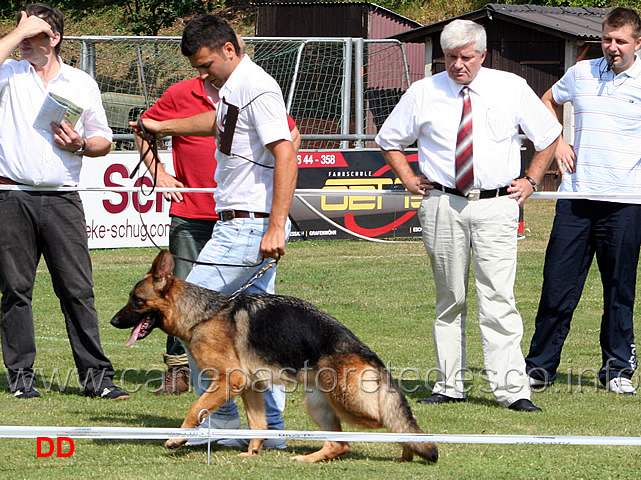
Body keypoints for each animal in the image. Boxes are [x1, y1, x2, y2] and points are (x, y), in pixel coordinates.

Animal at [111, 249, 440, 464]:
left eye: (136, 300)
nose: (113, 321)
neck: (202, 314)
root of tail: (366, 353)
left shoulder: (229, 381)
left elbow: (195, 409)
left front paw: (177, 437)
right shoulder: (251, 386)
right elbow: (258, 423)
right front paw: (252, 452)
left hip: (351, 404)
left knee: (392, 420)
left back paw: (409, 447)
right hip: (318, 403)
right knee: (342, 444)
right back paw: (311, 459)